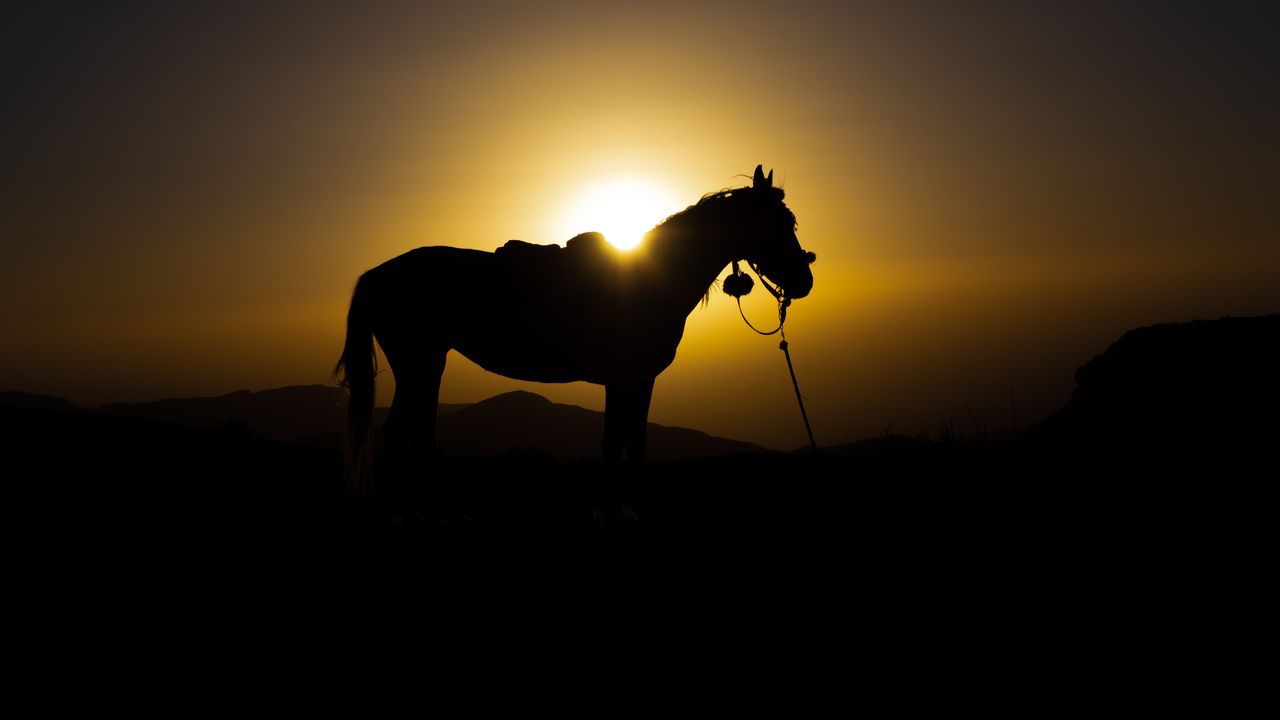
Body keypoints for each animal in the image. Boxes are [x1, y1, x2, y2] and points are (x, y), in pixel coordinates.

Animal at [337, 166, 819, 517]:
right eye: (777, 223)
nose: (804, 280)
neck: (654, 276)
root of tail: (378, 274)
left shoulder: (631, 381)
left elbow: (624, 440)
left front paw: (619, 506)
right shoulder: (629, 378)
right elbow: (621, 441)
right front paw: (618, 507)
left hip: (425, 362)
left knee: (411, 431)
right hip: (419, 361)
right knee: (404, 432)